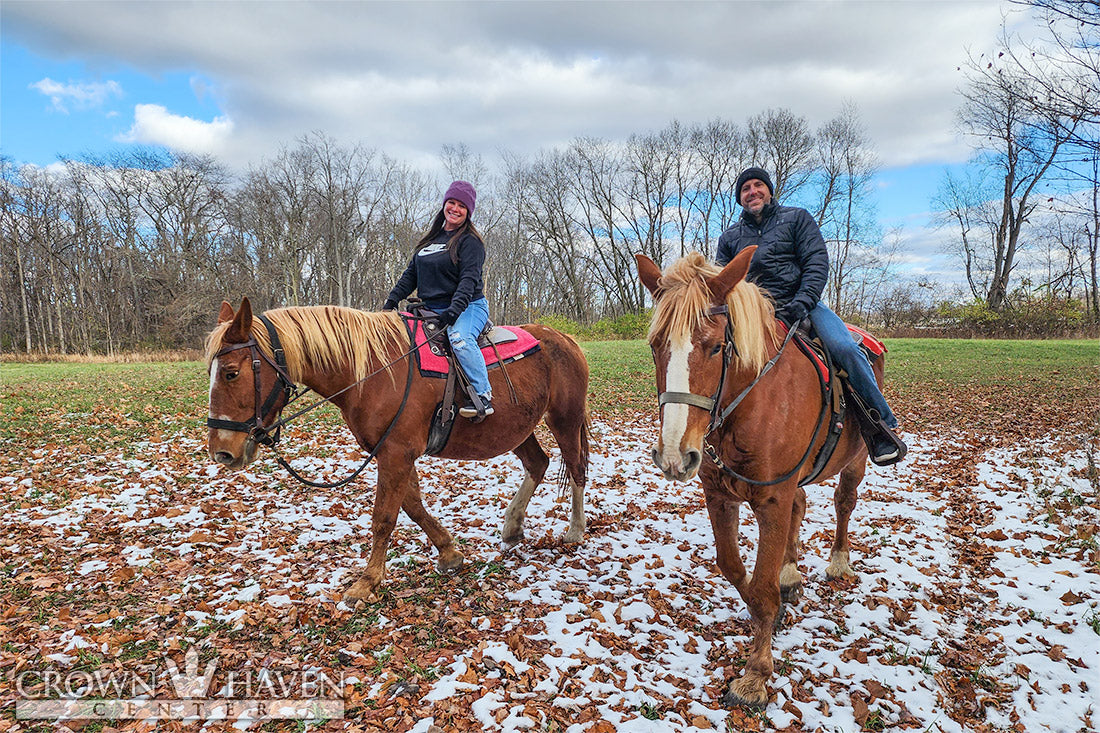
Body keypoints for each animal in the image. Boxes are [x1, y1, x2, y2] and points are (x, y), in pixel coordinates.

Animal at [203, 297, 589, 598]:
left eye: (232, 372)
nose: (222, 451)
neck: (373, 372)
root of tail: (564, 339)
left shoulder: (395, 454)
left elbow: (385, 517)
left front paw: (367, 582)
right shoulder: (394, 454)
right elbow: (413, 506)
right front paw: (449, 553)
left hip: (564, 419)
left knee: (577, 468)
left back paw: (575, 530)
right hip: (519, 429)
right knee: (538, 464)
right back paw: (512, 525)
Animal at [633, 248, 880, 704]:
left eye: (715, 347)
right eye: (657, 346)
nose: (675, 455)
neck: (750, 402)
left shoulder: (771, 498)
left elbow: (761, 592)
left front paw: (756, 674)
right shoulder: (720, 495)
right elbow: (735, 569)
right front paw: (772, 600)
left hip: (855, 462)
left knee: (844, 504)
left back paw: (838, 561)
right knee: (801, 508)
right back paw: (790, 573)